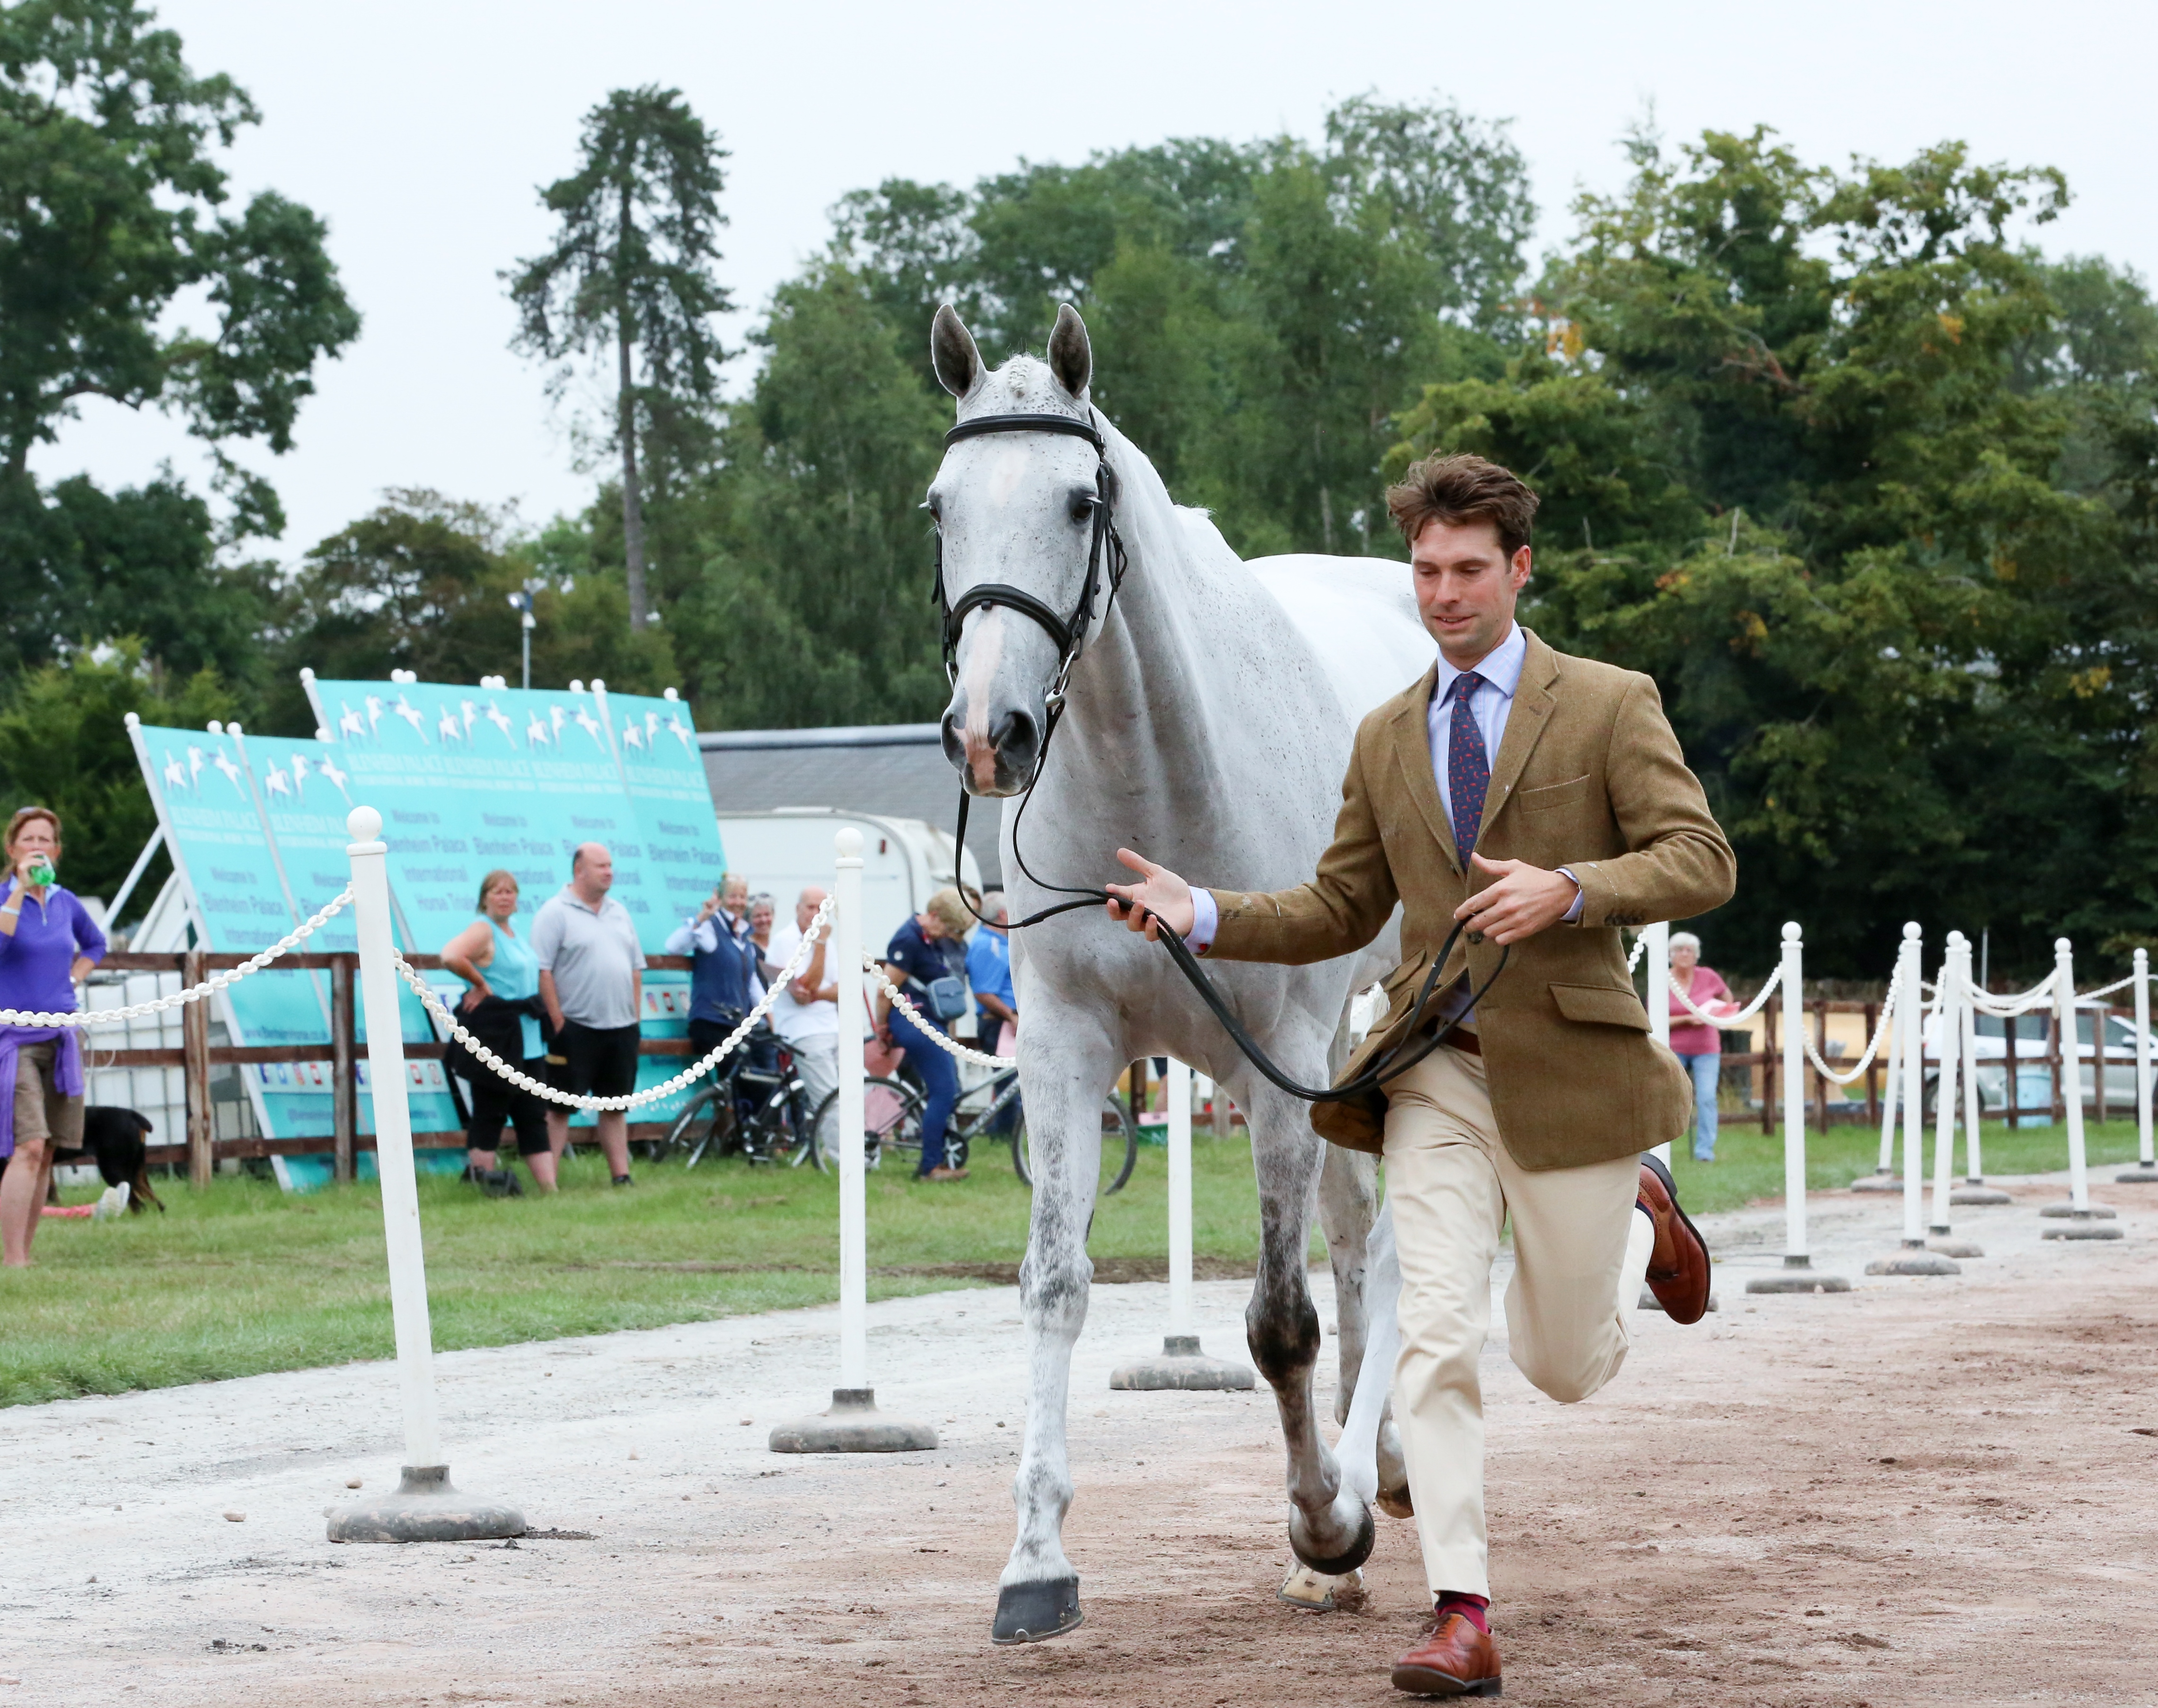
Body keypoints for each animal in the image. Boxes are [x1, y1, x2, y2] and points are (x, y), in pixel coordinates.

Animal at [928, 301, 1435, 1642]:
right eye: (939, 506)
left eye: (1076, 501)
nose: (988, 734)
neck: (1154, 775)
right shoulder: (1063, 1047)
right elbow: (1054, 1284)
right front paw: (1034, 1561)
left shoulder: (1278, 1060)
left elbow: (1279, 1321)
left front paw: (1322, 1520)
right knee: (1357, 1233)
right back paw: (1380, 1469)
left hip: (1385, 1020)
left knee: (1383, 1248)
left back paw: (1359, 1489)